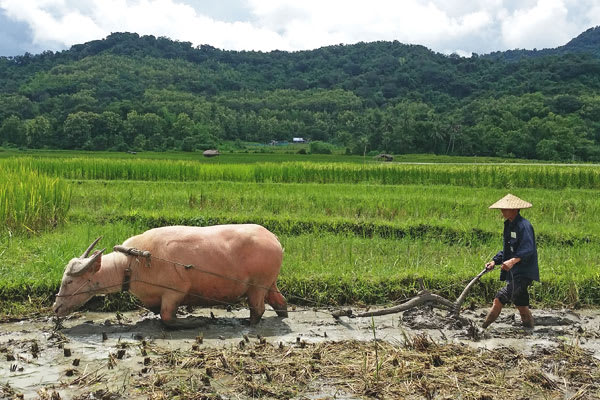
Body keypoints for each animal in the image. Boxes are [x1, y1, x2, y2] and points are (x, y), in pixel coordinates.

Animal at [52, 223, 288, 326]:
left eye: (69, 281)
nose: (55, 307)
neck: (132, 263)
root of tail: (274, 239)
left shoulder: (175, 292)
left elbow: (167, 318)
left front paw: (195, 322)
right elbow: (156, 310)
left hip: (257, 286)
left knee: (258, 309)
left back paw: (248, 323)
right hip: (269, 283)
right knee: (279, 301)